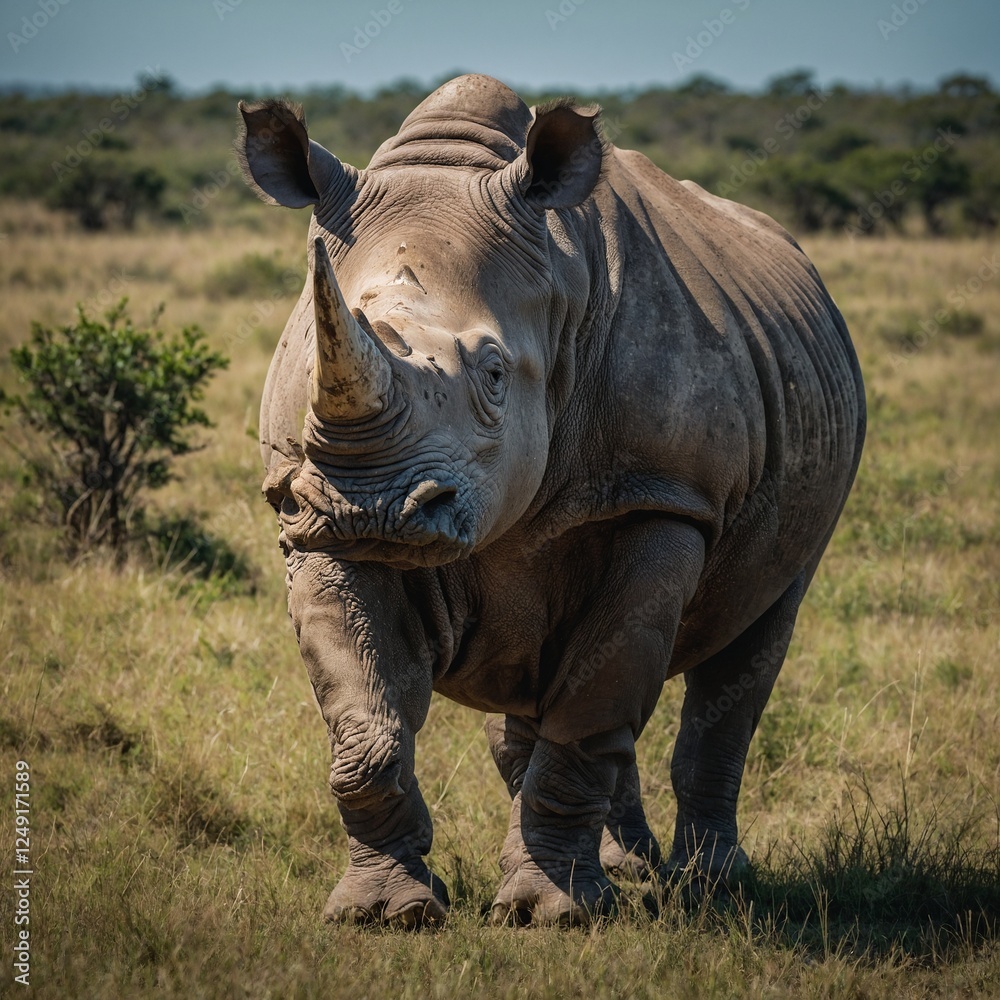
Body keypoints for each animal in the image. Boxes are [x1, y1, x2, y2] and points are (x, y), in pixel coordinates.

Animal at [237, 74, 865, 927]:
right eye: (311, 368)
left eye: (496, 375)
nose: (370, 509)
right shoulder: (306, 515)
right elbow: (366, 726)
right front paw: (383, 913)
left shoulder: (661, 495)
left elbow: (592, 706)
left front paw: (551, 915)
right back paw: (629, 874)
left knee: (747, 647)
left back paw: (708, 884)